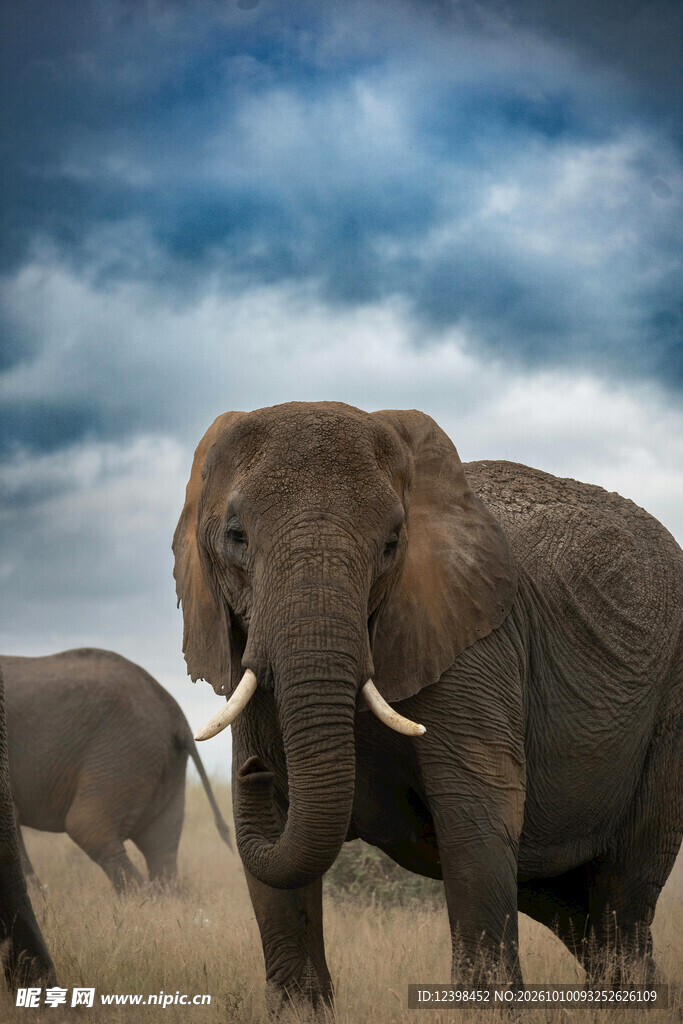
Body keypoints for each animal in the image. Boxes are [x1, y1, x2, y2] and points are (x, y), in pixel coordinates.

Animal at [173, 401, 682, 1015]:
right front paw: (300, 1011)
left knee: (625, 889)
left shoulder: (477, 650)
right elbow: (274, 837)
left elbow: (477, 807)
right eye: (236, 537)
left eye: (392, 544)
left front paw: (487, 1012)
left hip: (671, 705)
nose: (250, 770)